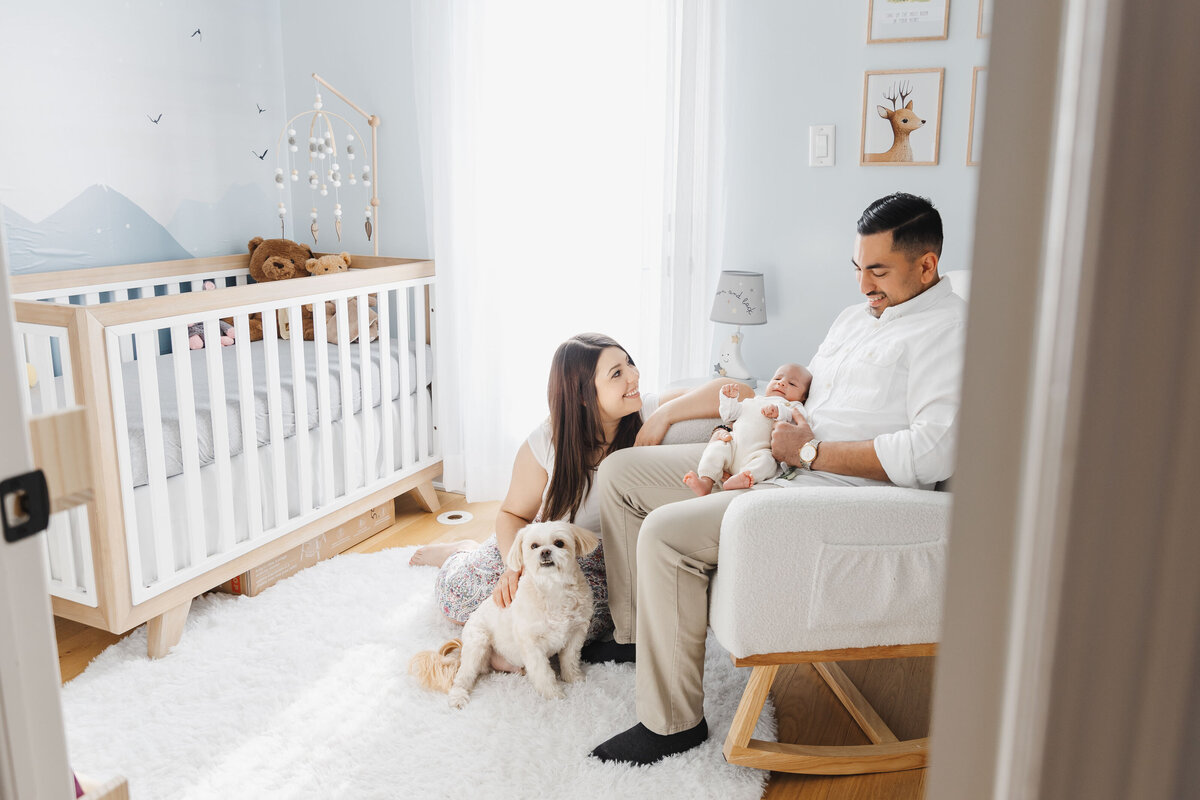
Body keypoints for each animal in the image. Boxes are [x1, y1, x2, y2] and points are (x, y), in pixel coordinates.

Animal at [410, 522, 597, 710]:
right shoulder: (531, 643)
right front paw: (554, 695)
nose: (545, 552)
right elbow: (542, 672)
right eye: (534, 546)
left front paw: (574, 678)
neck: (553, 588)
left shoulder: (576, 632)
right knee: (464, 675)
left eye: (559, 543)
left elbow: (570, 659)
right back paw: (458, 696)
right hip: (478, 643)